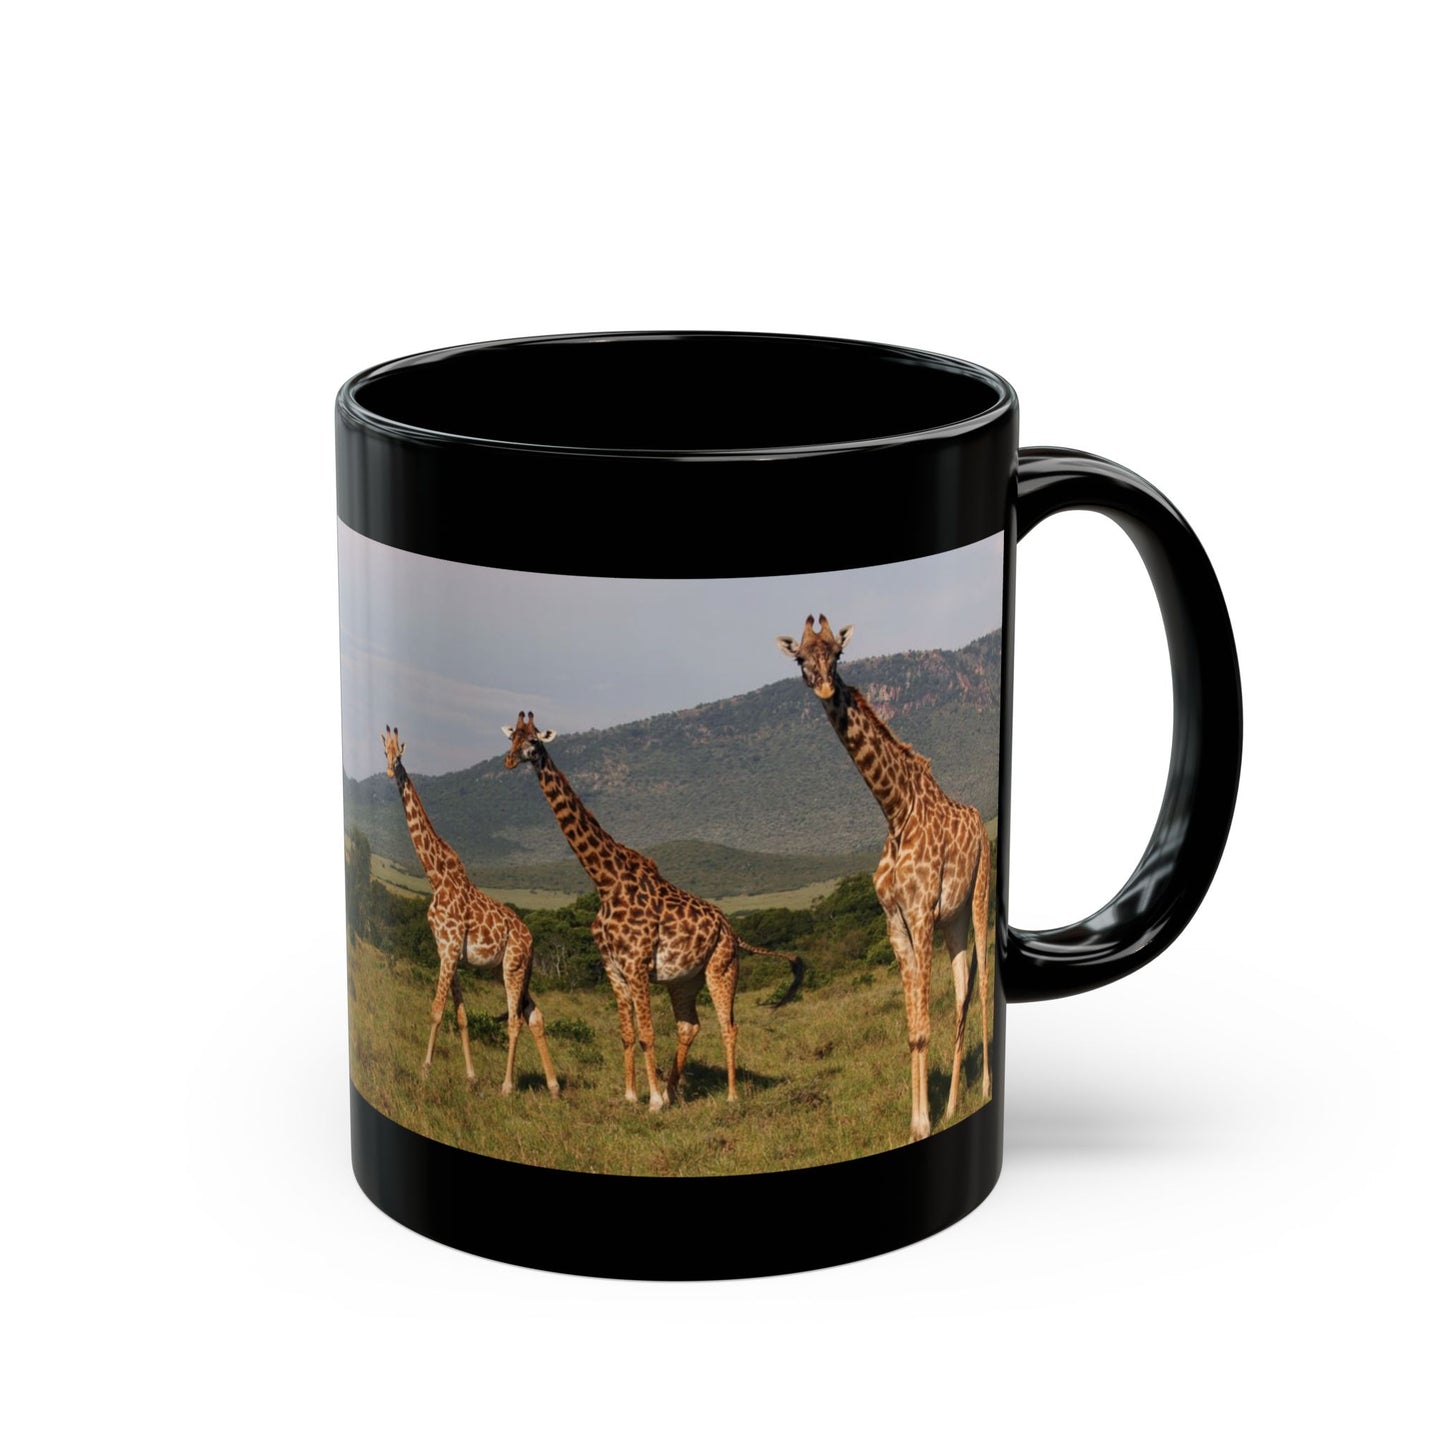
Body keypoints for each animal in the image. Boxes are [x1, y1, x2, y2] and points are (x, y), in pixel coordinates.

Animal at [382, 726, 559, 1098]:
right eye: (383, 750)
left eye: (399, 752)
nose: (391, 771)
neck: (435, 875)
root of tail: (532, 939)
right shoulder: (446, 950)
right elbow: (461, 1015)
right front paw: (471, 1077)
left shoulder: (450, 947)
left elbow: (436, 1011)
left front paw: (424, 1071)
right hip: (514, 969)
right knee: (534, 1016)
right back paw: (552, 1086)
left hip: (512, 966)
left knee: (515, 1020)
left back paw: (507, 1086)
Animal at [501, 712, 803, 1110]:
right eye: (511, 738)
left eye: (534, 741)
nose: (509, 761)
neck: (605, 881)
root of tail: (733, 931)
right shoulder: (614, 969)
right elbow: (627, 1034)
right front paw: (633, 1095)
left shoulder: (637, 965)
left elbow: (646, 1033)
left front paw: (654, 1100)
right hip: (684, 979)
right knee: (689, 1025)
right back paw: (675, 1090)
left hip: (721, 966)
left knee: (728, 1025)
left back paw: (730, 1095)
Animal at [777, 616, 992, 1142]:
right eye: (801, 658)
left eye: (837, 654)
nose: (824, 685)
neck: (895, 812)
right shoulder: (896, 921)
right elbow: (913, 1030)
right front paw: (921, 1119)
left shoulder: (920, 913)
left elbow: (923, 1026)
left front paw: (923, 1122)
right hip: (954, 921)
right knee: (961, 995)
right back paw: (954, 1105)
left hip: (979, 895)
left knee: (982, 985)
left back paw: (983, 1090)